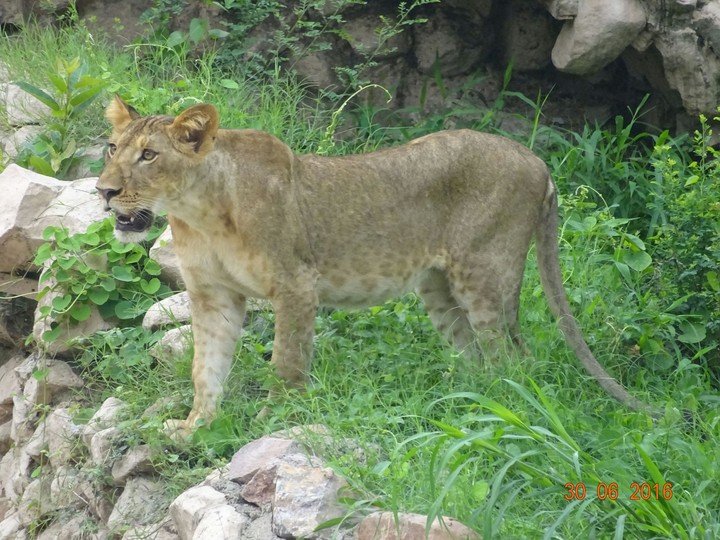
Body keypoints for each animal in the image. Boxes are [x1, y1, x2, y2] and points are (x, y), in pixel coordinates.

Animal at [96, 96, 657, 436]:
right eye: (112, 147)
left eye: (149, 155)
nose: (103, 191)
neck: (199, 210)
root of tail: (539, 161)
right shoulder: (214, 297)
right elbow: (205, 368)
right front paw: (194, 427)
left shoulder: (297, 285)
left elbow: (286, 363)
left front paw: (274, 419)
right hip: (439, 290)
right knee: (480, 359)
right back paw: (464, 408)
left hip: (484, 276)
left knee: (516, 360)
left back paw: (498, 418)